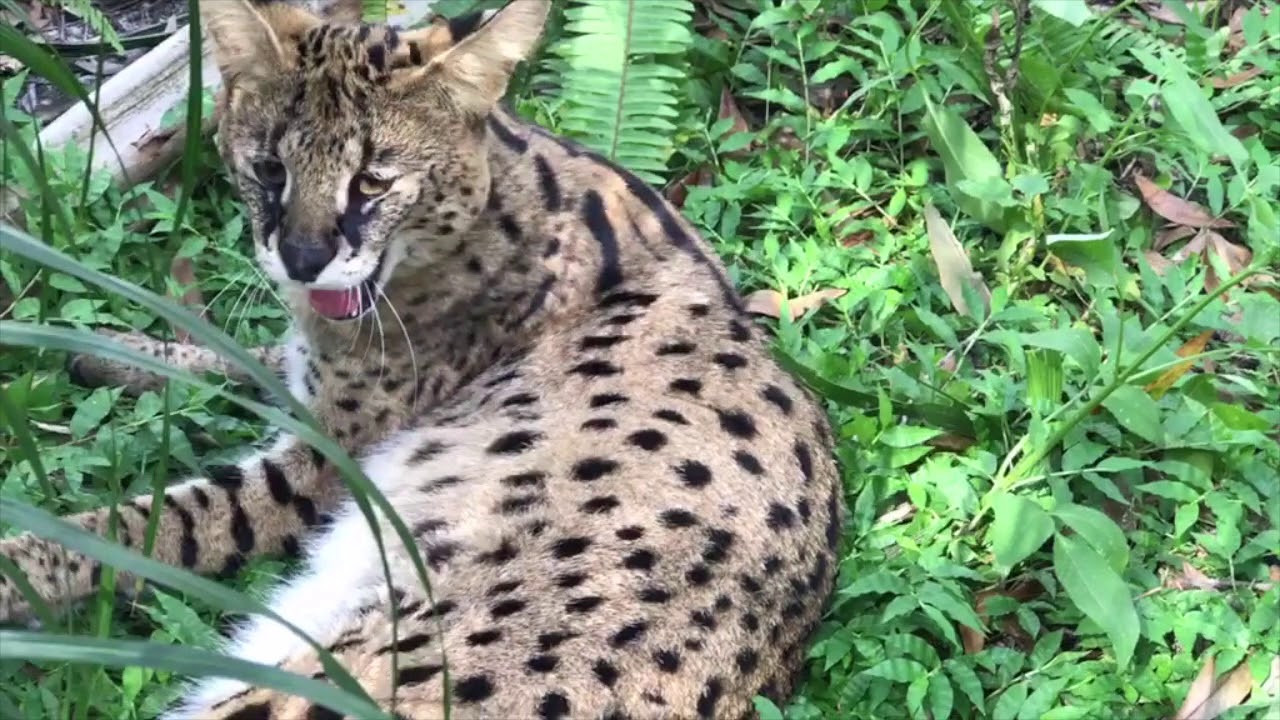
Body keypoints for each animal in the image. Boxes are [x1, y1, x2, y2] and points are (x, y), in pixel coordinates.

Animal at [0, 1, 846, 718]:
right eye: (269, 168)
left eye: (374, 180)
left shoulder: (319, 464)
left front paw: (20, 564)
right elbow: (248, 357)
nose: (302, 259)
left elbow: (154, 519)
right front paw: (116, 352)